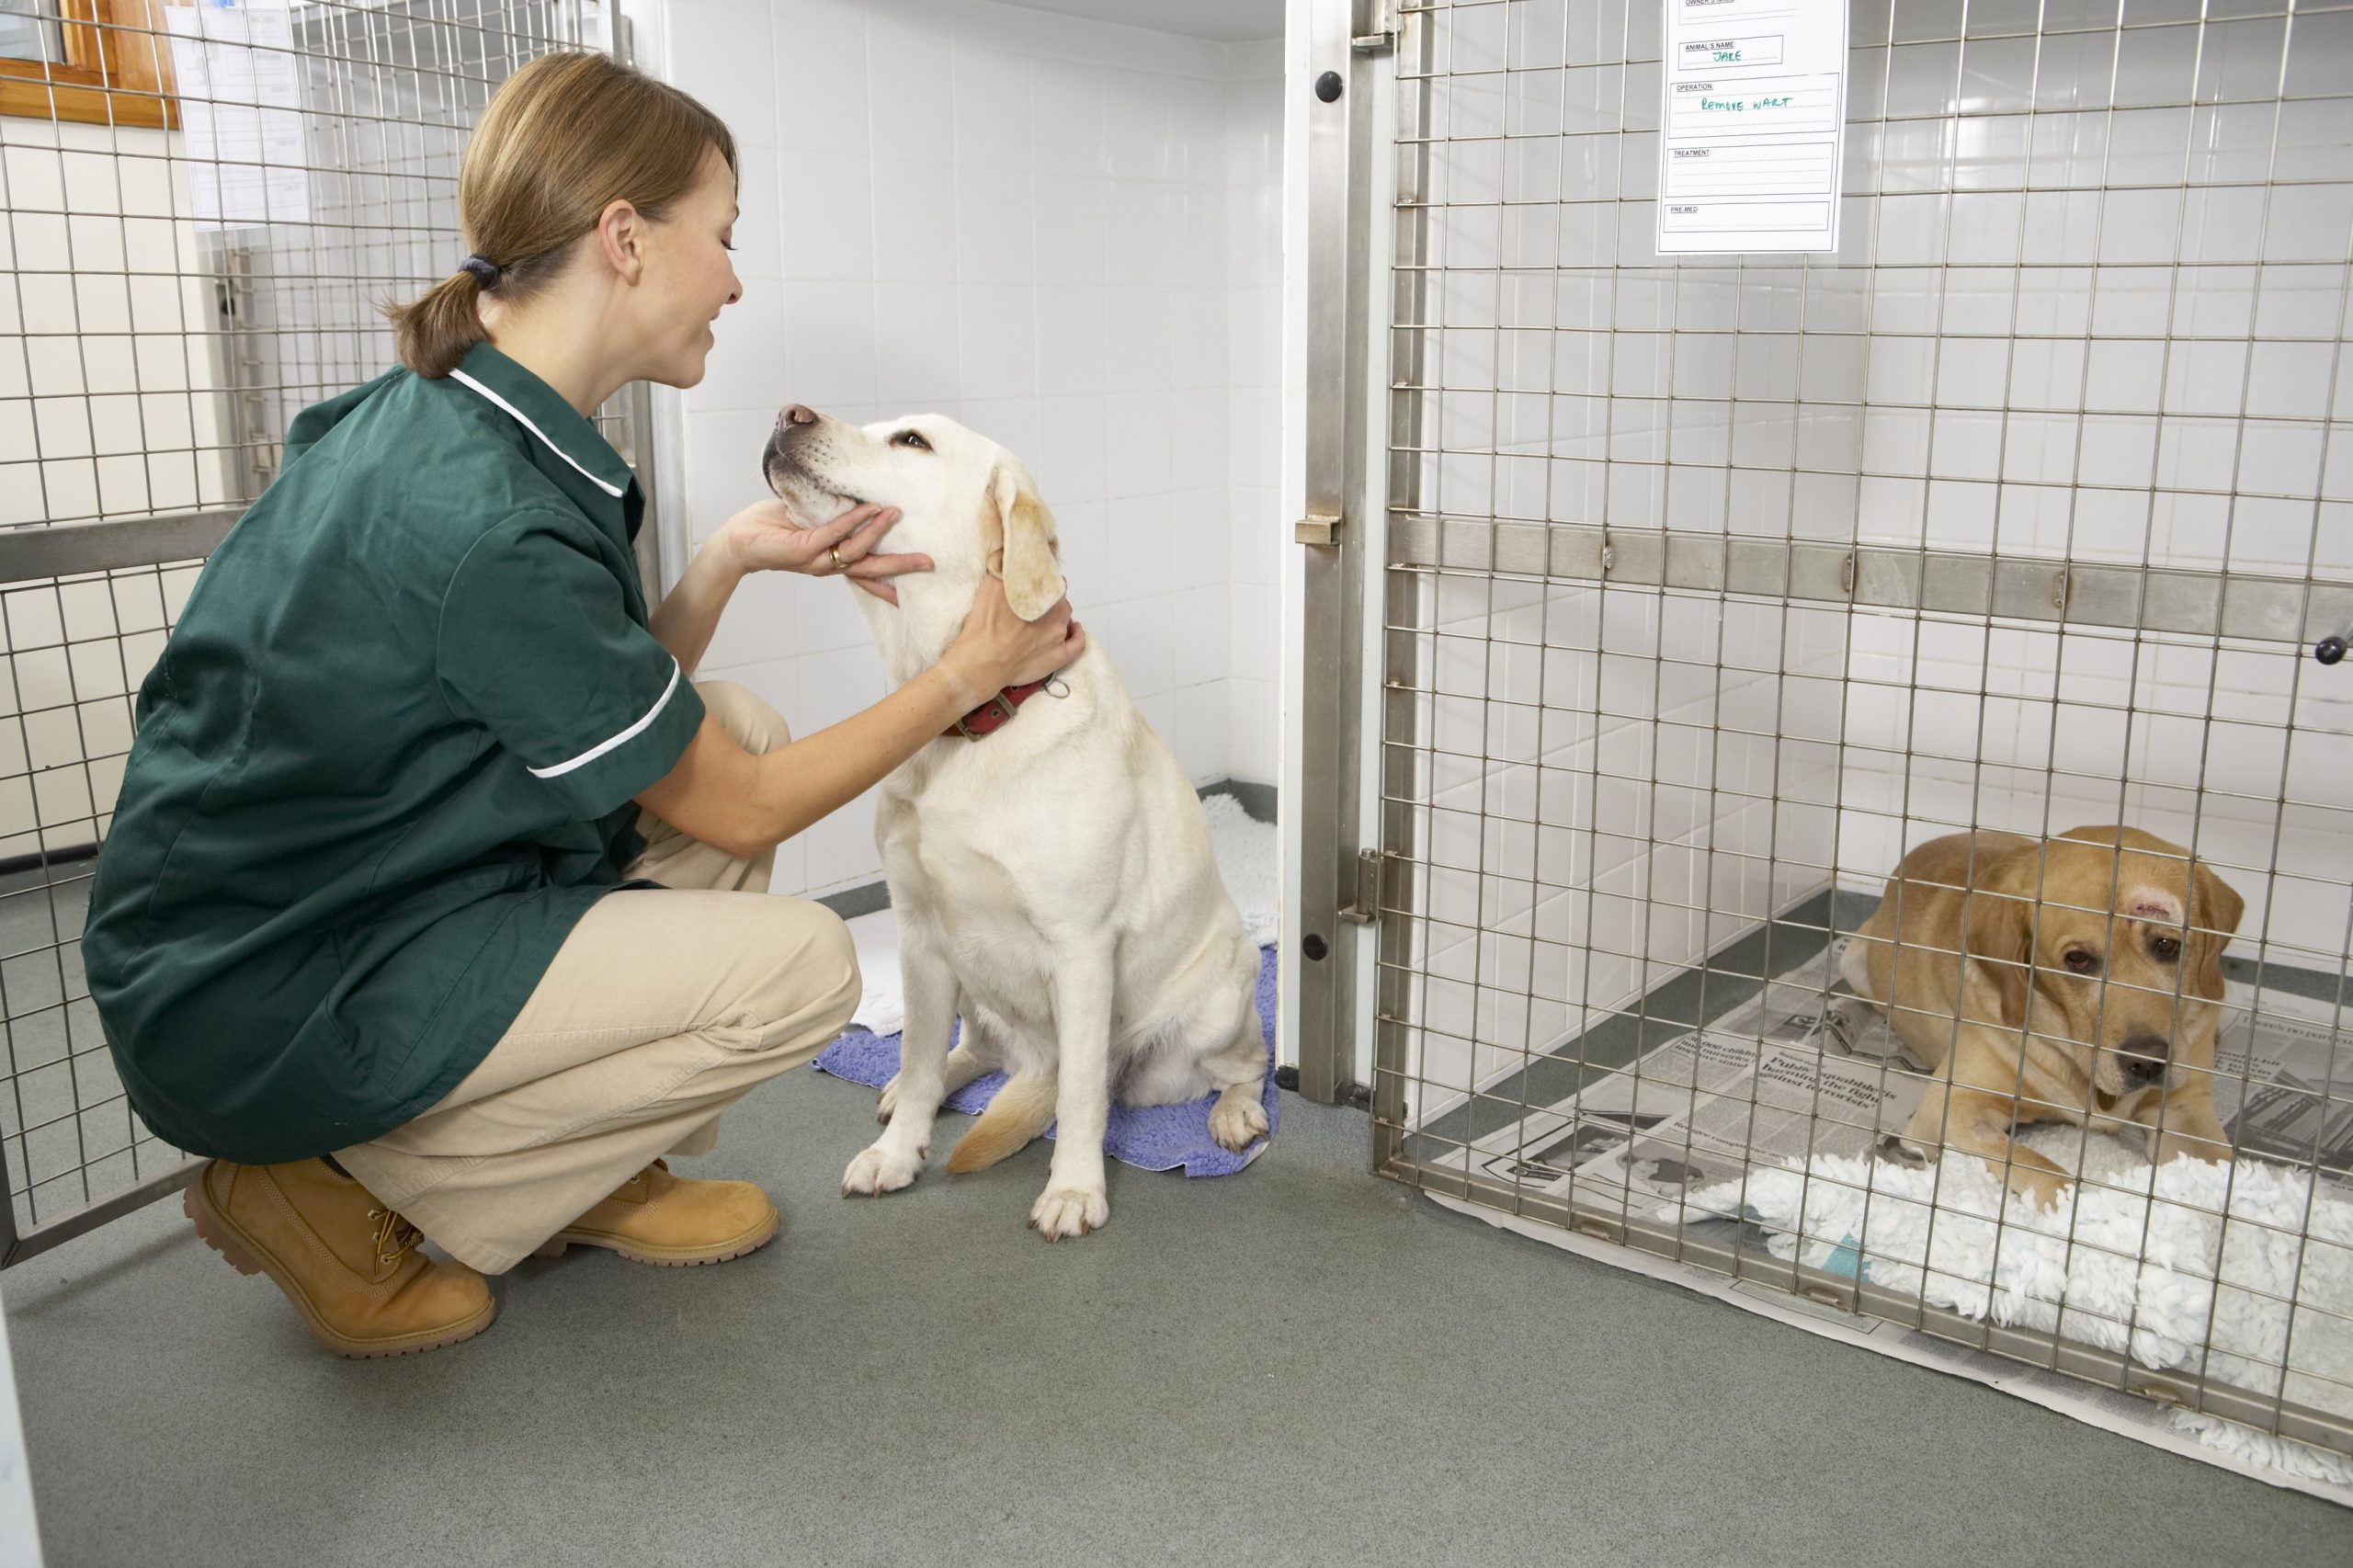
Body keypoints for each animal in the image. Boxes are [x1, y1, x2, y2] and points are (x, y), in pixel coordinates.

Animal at [762, 403, 1270, 1233]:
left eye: (912, 441)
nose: (788, 413)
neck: (972, 721)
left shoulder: (1081, 948)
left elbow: (1082, 1096)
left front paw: (1073, 1190)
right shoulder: (919, 936)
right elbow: (918, 1053)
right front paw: (898, 1154)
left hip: (1220, 1003)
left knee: (1241, 1067)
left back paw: (1233, 1115)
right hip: (969, 988)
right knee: (968, 1052)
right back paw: (922, 1085)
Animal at [1835, 824, 2240, 1200]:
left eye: (2167, 945)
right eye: (2078, 959)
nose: (2148, 1062)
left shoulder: (2185, 1108)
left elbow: (2219, 1172)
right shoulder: (1948, 1110)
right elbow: (2041, 1168)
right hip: (1853, 958)